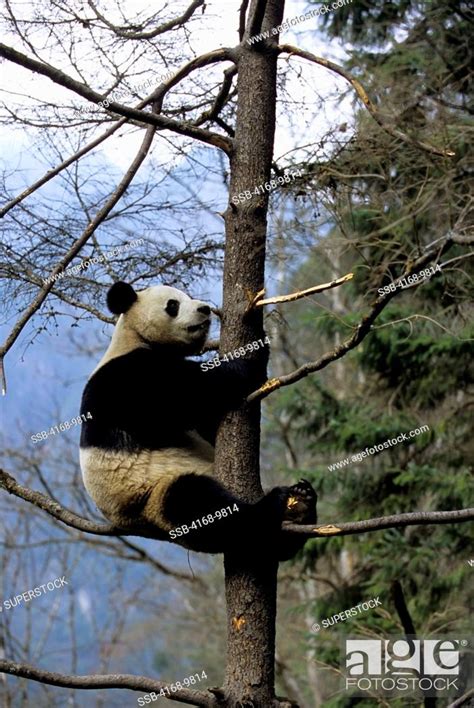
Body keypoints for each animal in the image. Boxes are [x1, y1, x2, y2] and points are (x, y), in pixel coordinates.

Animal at [79, 282, 316, 560]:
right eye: (173, 305)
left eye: (189, 296)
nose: (204, 309)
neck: (134, 337)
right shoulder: (126, 379)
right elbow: (189, 394)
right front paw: (252, 352)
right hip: (150, 496)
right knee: (197, 504)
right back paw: (271, 505)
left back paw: (302, 504)